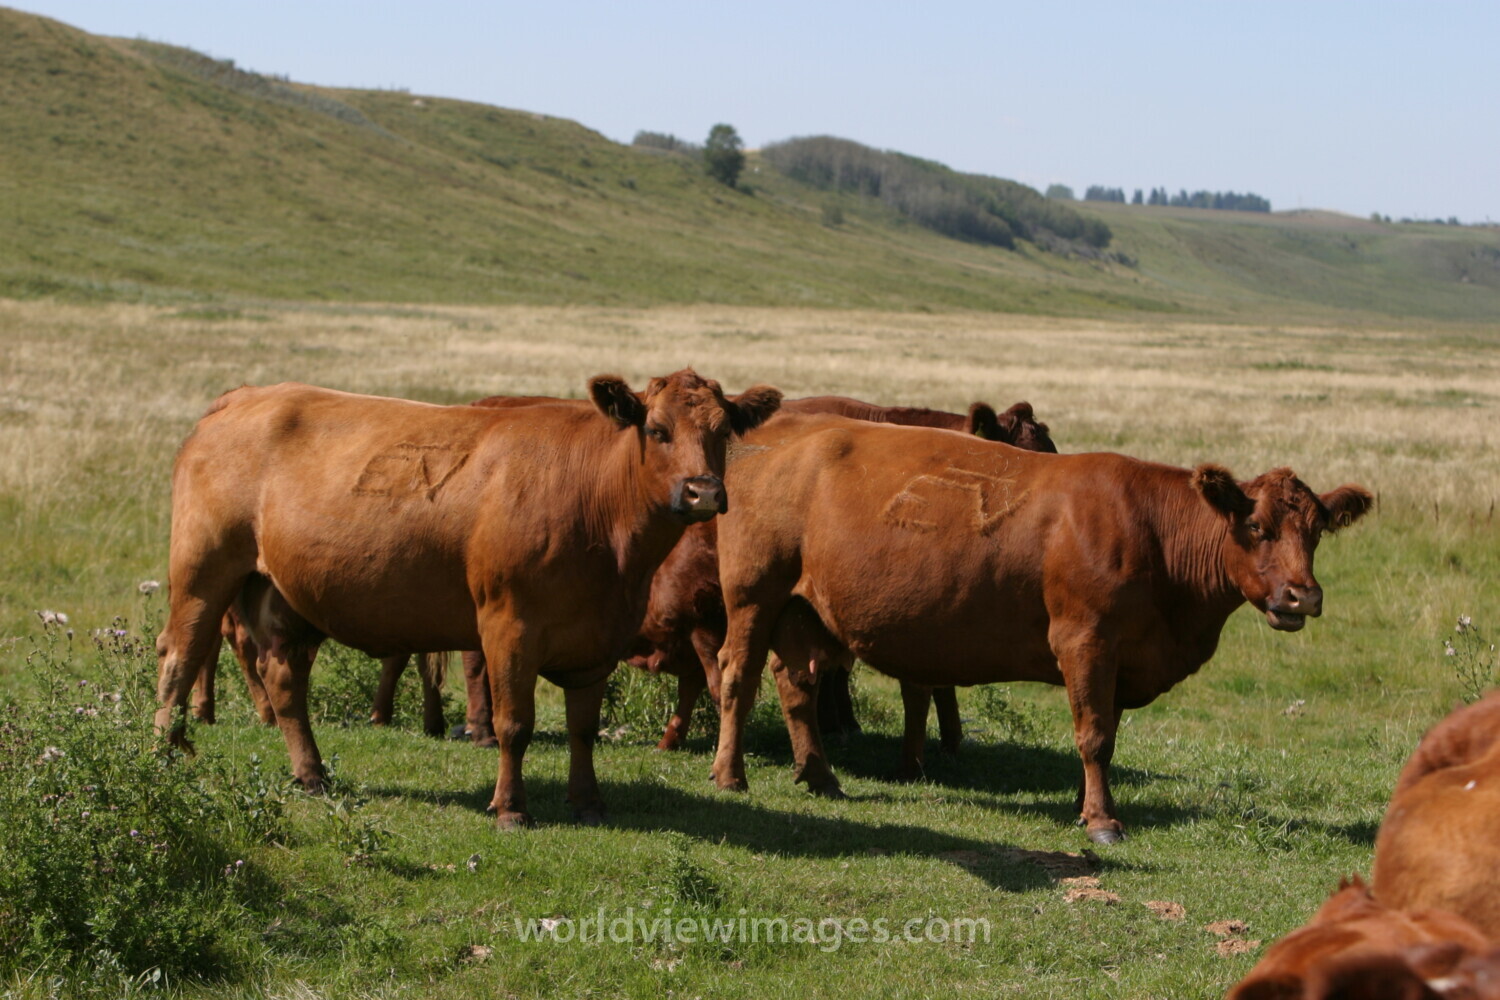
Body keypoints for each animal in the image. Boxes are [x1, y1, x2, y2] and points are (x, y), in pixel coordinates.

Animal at [153, 371, 781, 829]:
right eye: (656, 430)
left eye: (723, 432)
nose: (704, 492)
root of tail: (245, 395)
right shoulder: (509, 625)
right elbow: (513, 724)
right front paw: (510, 808)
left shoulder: (597, 637)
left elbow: (583, 727)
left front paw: (588, 801)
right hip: (203, 570)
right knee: (180, 656)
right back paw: (164, 753)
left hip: (284, 596)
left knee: (283, 681)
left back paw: (311, 773)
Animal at [707, 413, 1372, 843]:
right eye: (1256, 527)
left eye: (1315, 531)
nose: (1303, 595)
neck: (1154, 534)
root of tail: (773, 438)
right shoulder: (1085, 639)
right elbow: (1094, 735)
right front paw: (1101, 821)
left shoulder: (1122, 655)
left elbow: (1106, 732)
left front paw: (1086, 804)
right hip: (753, 594)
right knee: (738, 675)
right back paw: (730, 775)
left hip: (802, 609)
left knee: (796, 683)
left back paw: (820, 776)